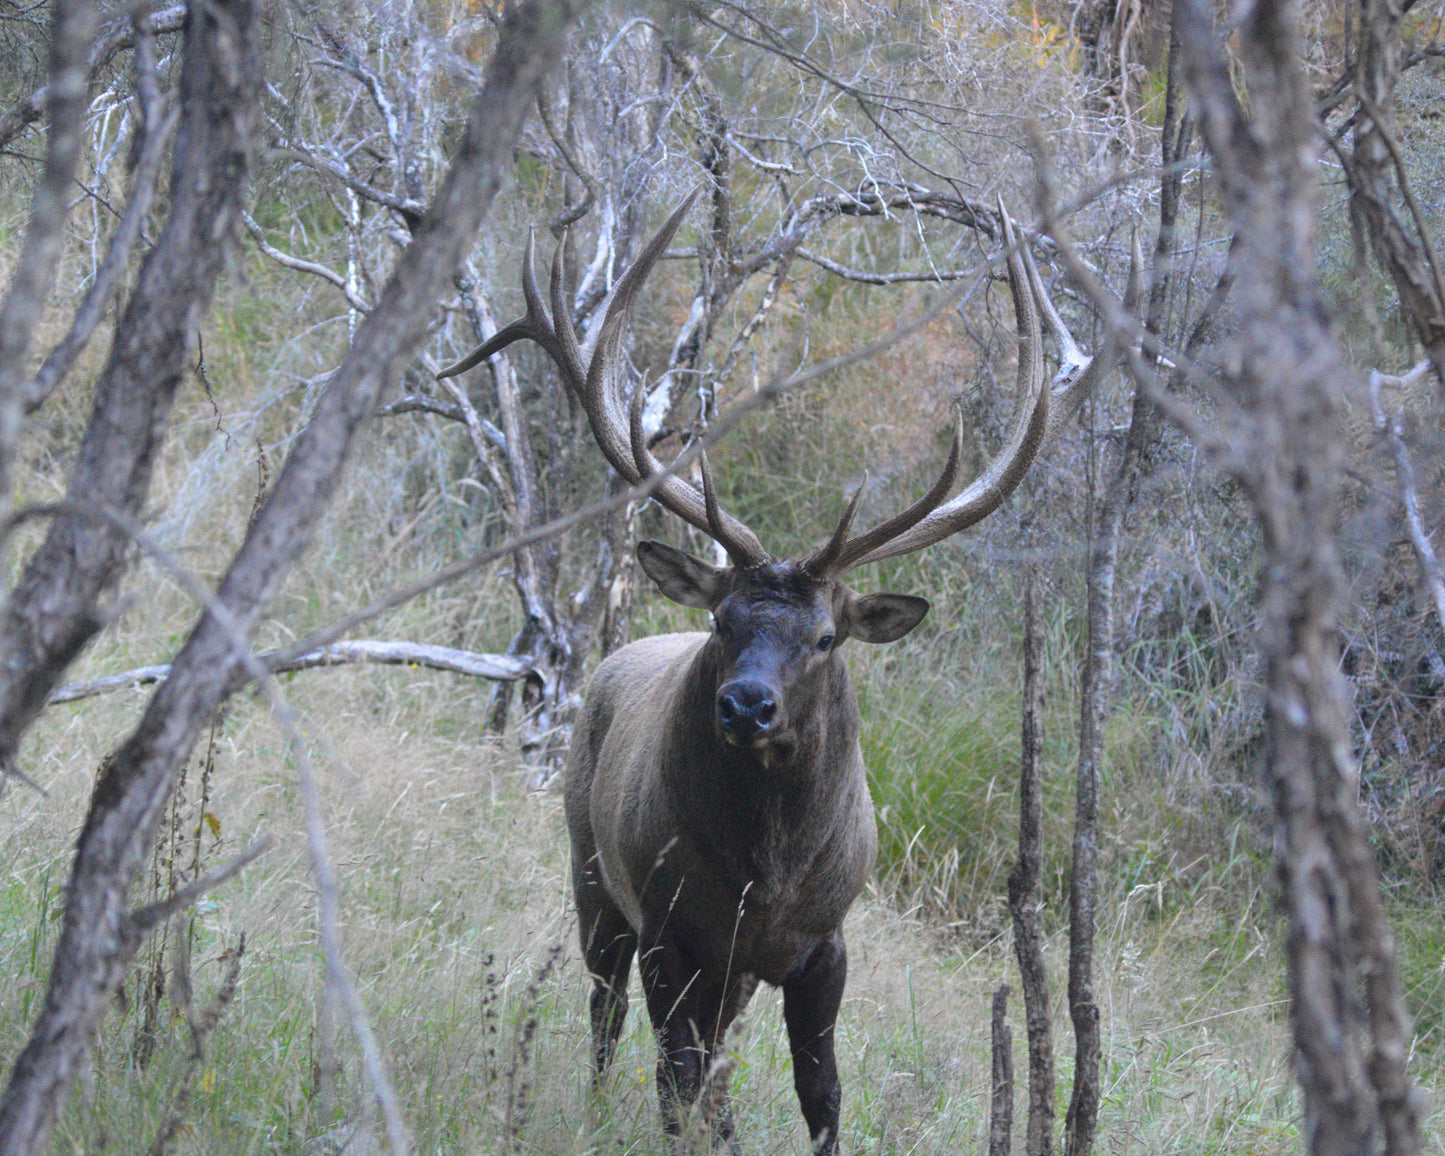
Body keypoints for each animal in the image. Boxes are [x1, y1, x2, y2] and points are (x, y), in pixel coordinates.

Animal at [438, 193, 1105, 1154]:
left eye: (826, 637)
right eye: (722, 621)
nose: (746, 706)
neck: (765, 879)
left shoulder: (820, 943)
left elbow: (818, 1090)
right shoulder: (669, 930)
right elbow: (674, 1077)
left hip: (726, 967)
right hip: (591, 874)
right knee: (605, 1018)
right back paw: (598, 1109)